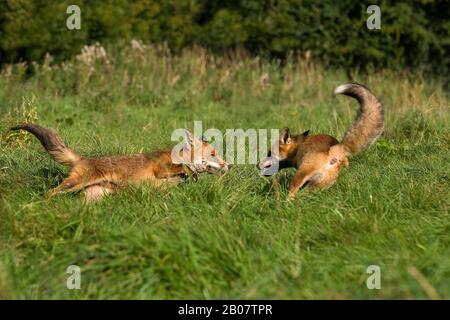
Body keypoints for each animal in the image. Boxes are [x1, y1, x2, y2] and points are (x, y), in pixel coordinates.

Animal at [10, 125, 229, 202]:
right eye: (214, 154)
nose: (229, 165)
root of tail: (83, 159)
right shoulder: (160, 168)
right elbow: (183, 168)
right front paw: (189, 170)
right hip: (73, 185)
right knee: (49, 192)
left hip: (94, 196)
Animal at [256, 82, 384, 198]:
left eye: (269, 153)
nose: (257, 165)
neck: (297, 149)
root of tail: (336, 149)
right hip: (317, 186)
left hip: (301, 176)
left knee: (292, 195)